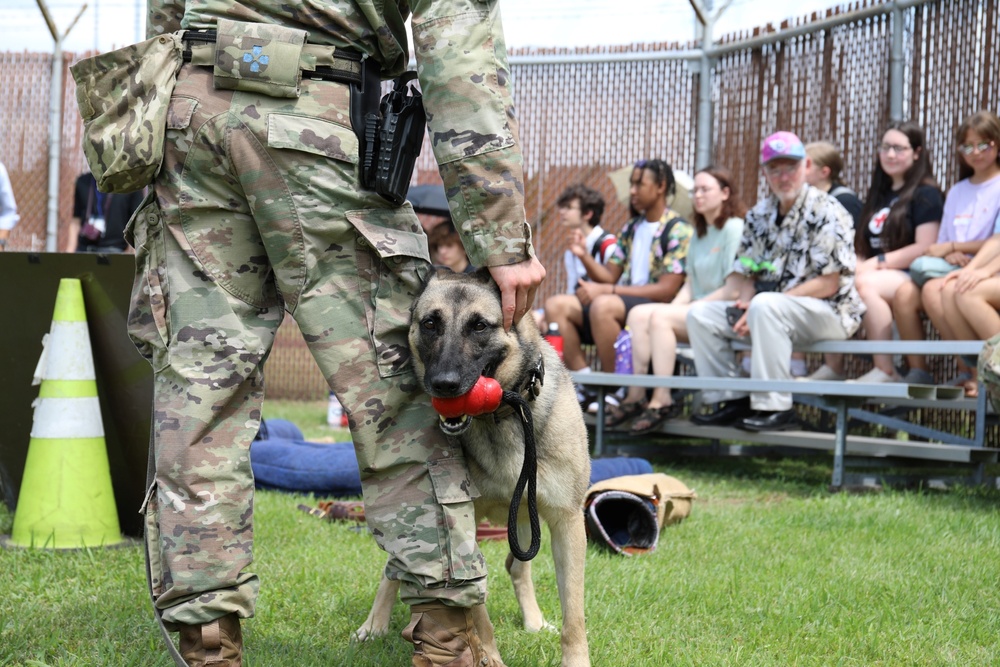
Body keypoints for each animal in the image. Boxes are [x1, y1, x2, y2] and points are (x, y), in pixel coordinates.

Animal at [358, 268, 592, 667]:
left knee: (517, 566)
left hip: (525, 517)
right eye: (430, 323)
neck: (504, 414)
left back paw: (534, 620)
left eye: (479, 325)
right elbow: (476, 611)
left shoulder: (568, 522)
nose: (444, 385)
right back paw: (374, 624)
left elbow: (573, 615)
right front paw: (488, 656)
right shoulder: (463, 523)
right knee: (395, 567)